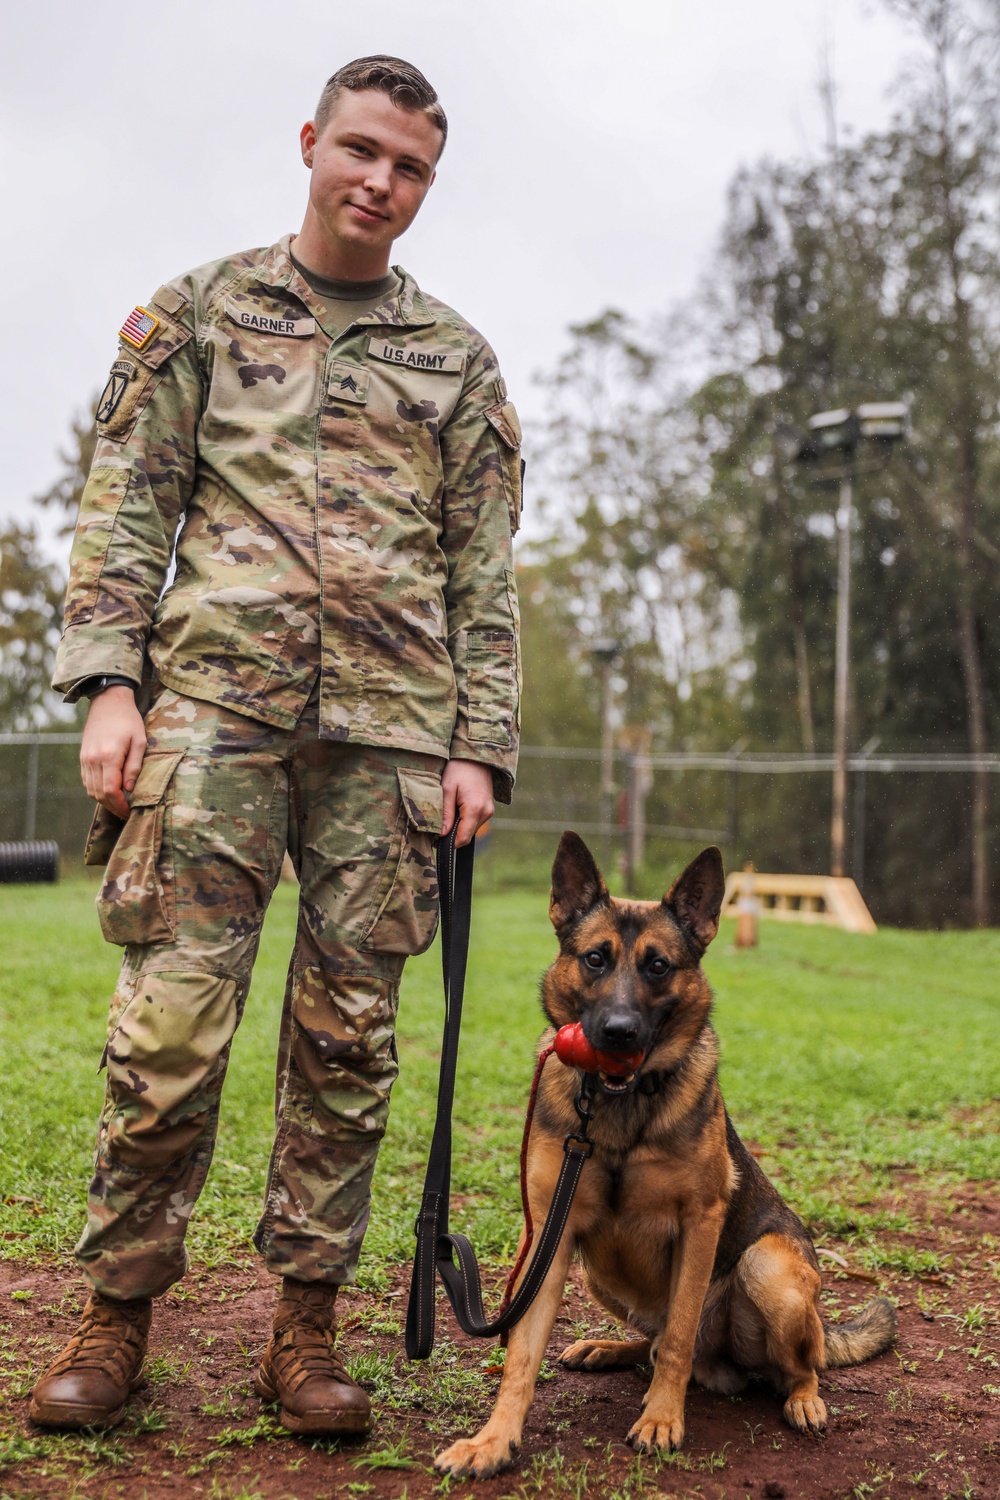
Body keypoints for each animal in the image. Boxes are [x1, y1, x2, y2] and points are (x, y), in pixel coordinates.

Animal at [434, 840, 893, 1482]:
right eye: (595, 960)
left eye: (658, 966)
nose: (619, 1032)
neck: (621, 1109)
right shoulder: (549, 1234)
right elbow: (521, 1356)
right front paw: (493, 1441)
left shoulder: (700, 1222)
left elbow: (677, 1336)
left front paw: (660, 1420)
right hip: (598, 1273)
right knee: (650, 1345)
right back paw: (606, 1348)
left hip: (768, 1270)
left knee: (790, 1365)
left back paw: (803, 1400)